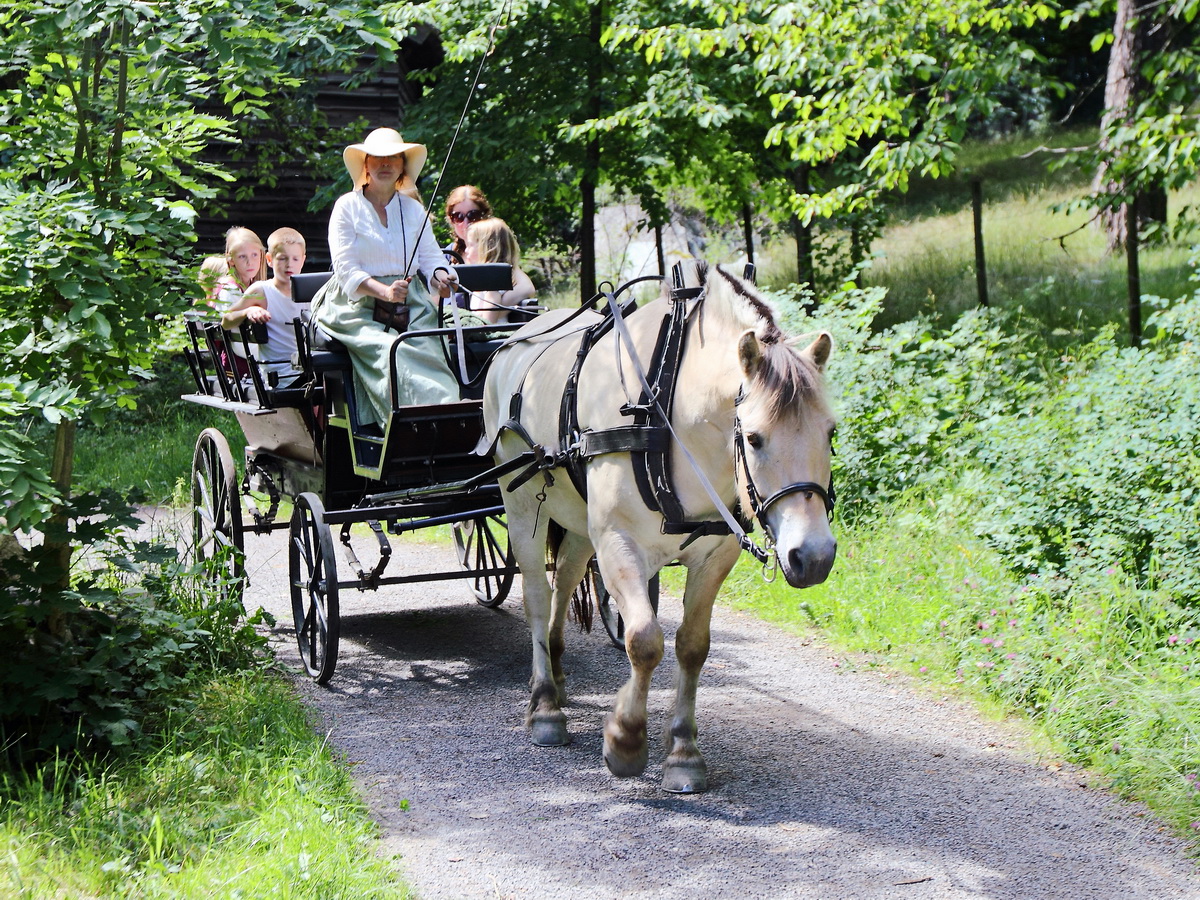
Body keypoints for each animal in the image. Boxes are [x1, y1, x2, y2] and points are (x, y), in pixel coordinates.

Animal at [477, 264, 835, 792]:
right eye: (753, 437)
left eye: (830, 432)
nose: (813, 556)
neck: (669, 415)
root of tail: (511, 343)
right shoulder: (619, 543)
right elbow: (644, 639)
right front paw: (626, 739)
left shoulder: (715, 555)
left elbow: (692, 646)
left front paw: (683, 750)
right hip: (524, 508)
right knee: (538, 597)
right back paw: (545, 705)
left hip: (578, 519)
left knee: (565, 578)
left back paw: (558, 676)